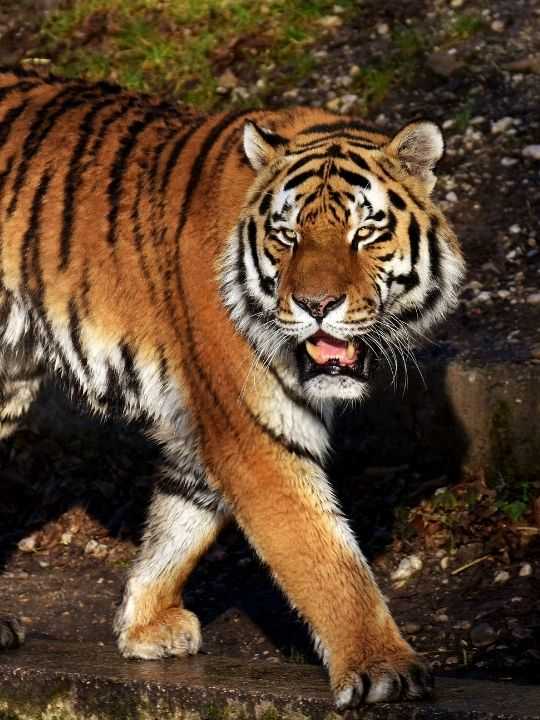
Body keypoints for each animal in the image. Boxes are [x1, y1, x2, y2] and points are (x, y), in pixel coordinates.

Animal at [0, 67, 464, 708]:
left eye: (365, 232)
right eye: (288, 235)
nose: (317, 305)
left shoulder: (204, 425)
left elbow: (181, 522)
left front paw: (145, 625)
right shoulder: (251, 429)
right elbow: (325, 556)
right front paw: (382, 668)